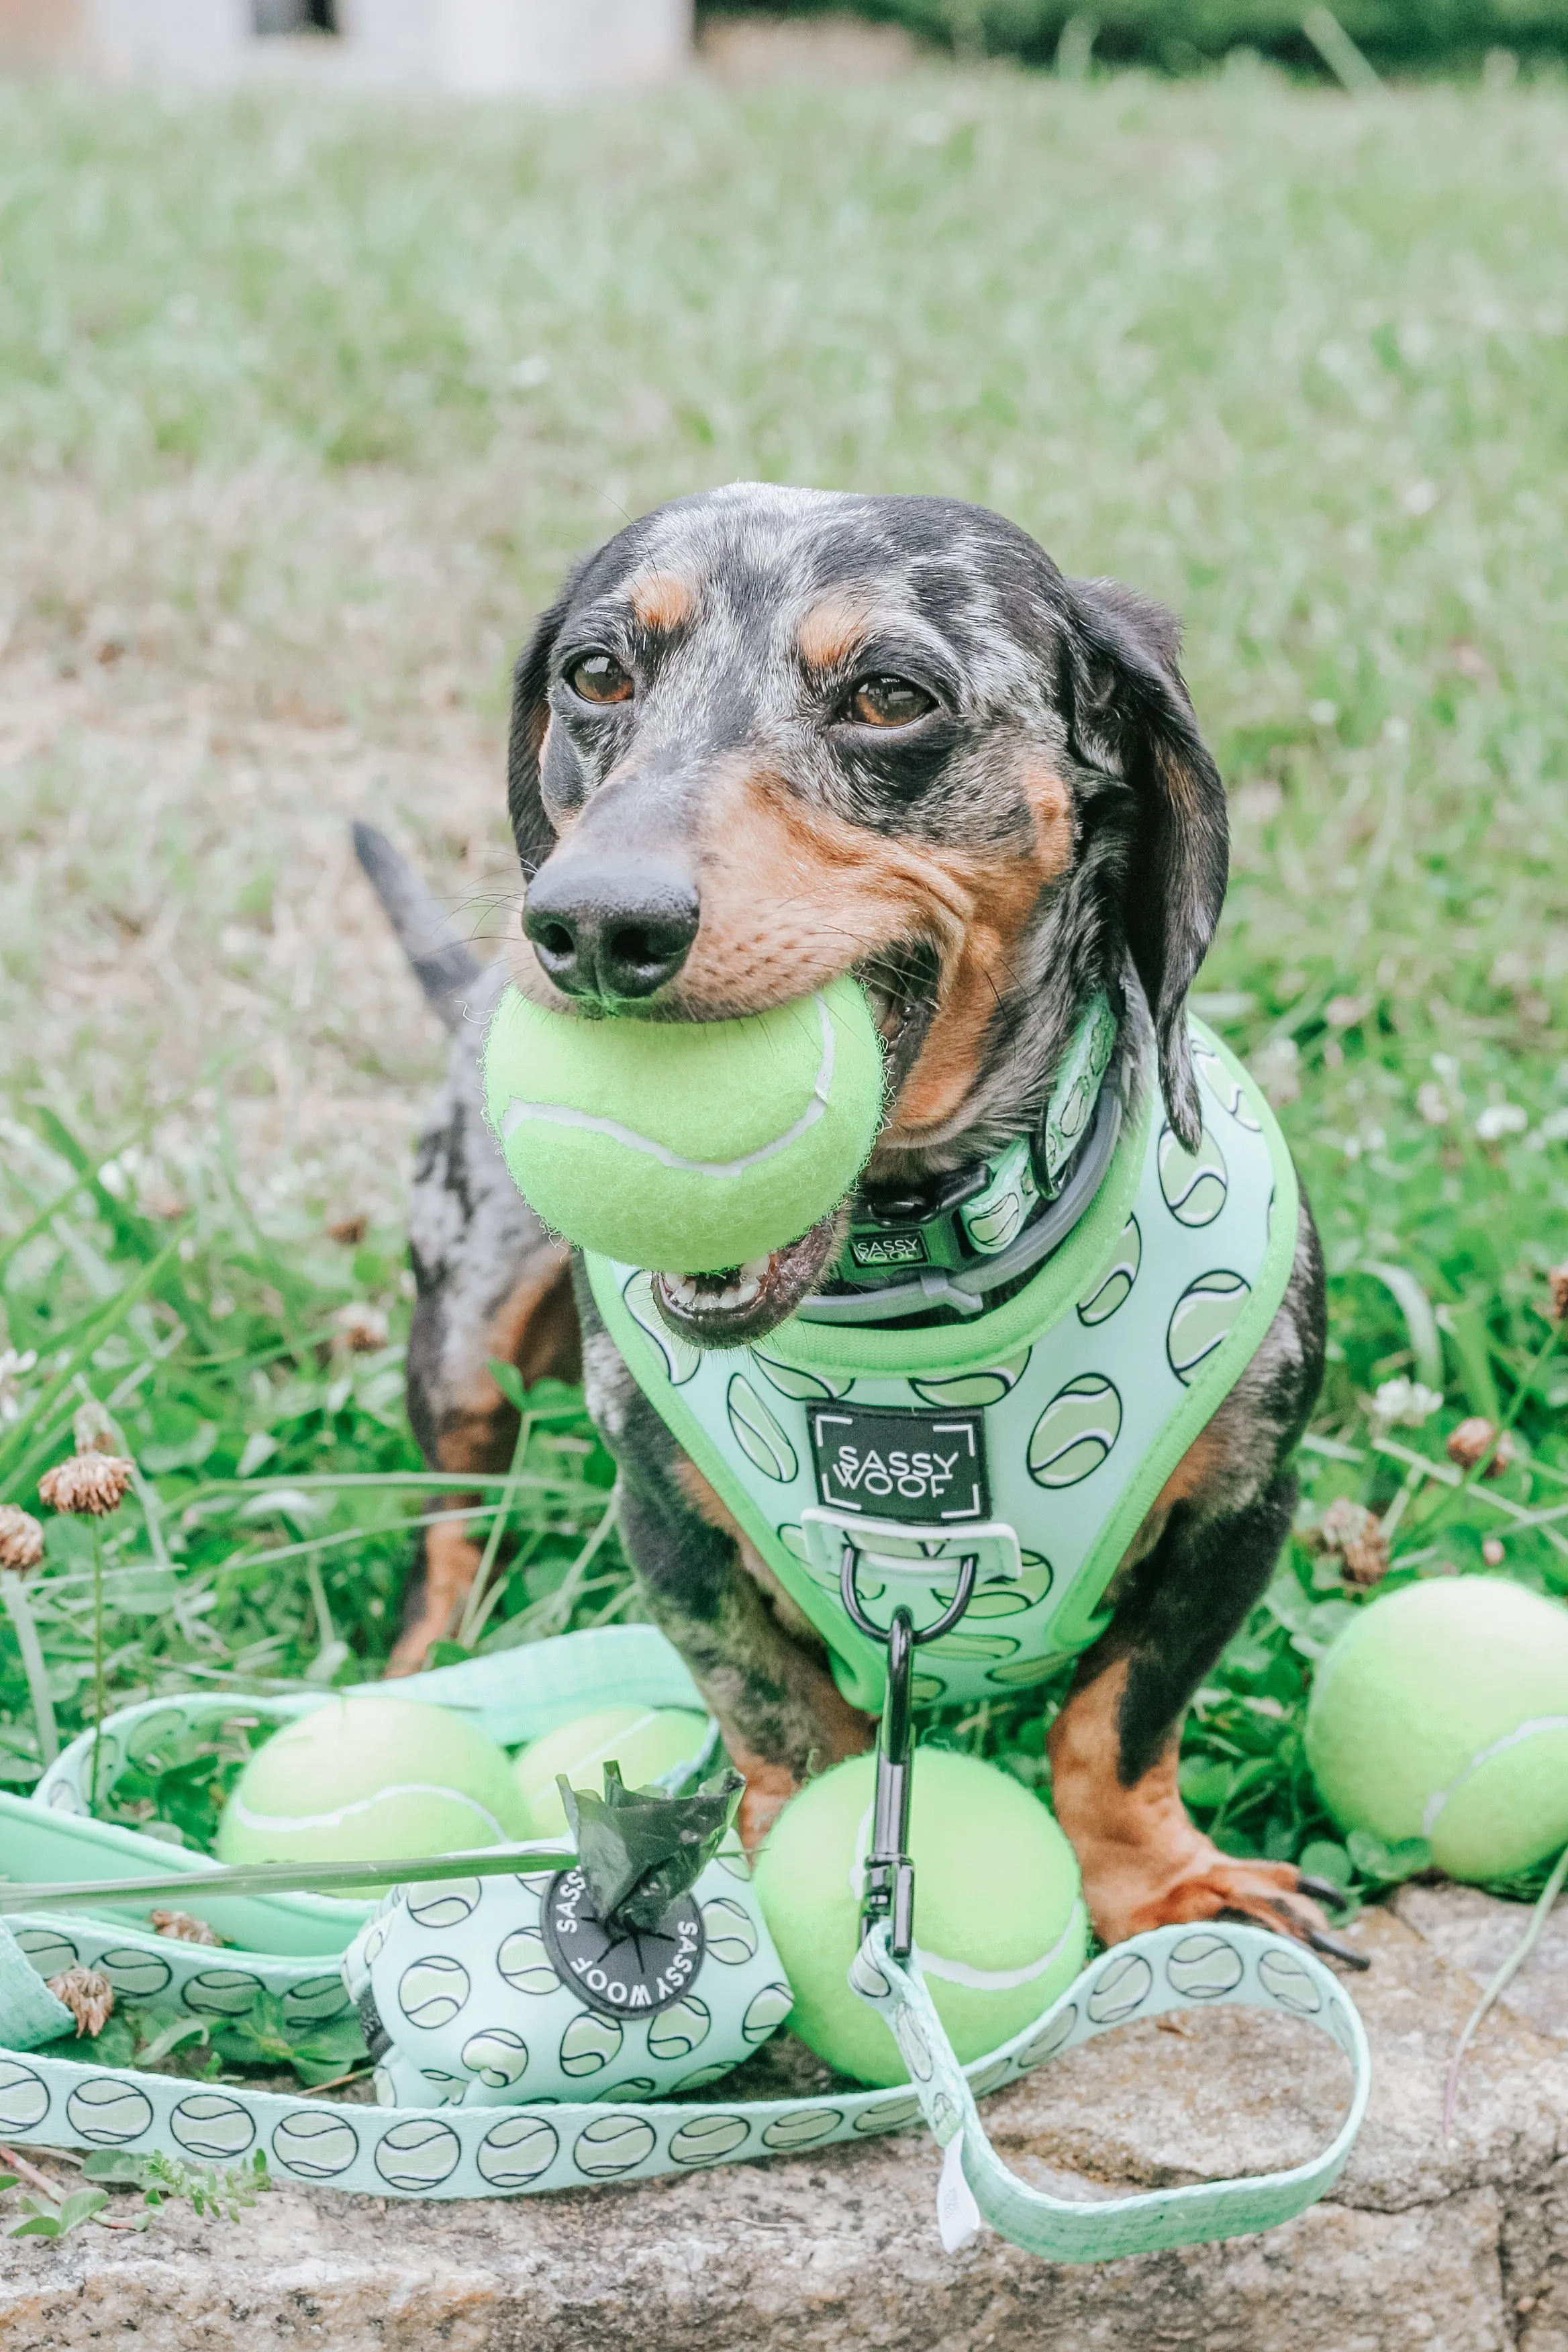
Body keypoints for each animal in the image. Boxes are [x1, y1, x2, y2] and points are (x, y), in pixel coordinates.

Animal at [354, 487, 1354, 1957]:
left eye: (889, 695)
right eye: (595, 675)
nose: (588, 928)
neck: (914, 1291)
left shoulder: (1241, 1508)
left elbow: (1115, 1723)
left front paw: (1159, 1884)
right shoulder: (674, 1530)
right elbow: (783, 1723)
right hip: (466, 1336)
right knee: (451, 1519)